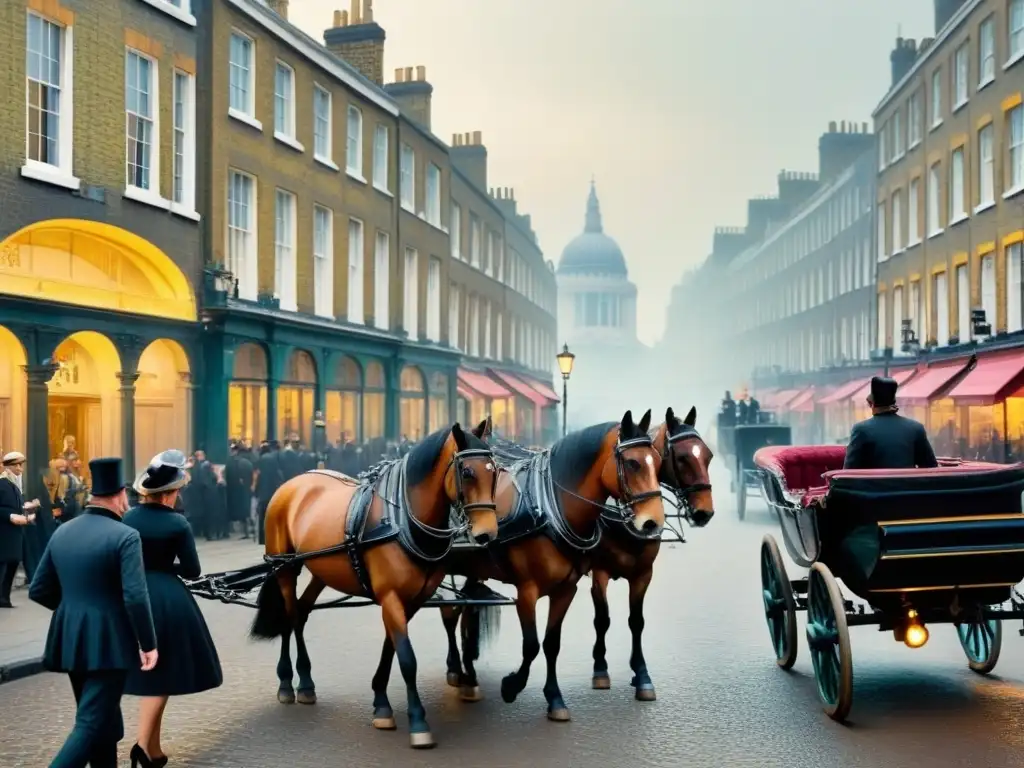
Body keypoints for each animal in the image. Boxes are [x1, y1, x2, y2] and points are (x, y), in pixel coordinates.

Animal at [251, 423, 499, 749]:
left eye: (495, 471)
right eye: (467, 472)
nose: (487, 534)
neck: (403, 521)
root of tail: (293, 482)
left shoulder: (411, 600)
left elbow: (390, 647)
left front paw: (381, 701)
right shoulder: (391, 597)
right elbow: (406, 657)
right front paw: (418, 721)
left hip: (321, 570)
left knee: (302, 613)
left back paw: (305, 681)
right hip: (285, 567)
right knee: (290, 617)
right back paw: (287, 682)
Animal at [438, 411, 663, 724]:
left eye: (658, 460)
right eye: (632, 463)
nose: (653, 522)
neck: (550, 507)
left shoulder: (566, 589)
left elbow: (551, 643)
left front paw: (554, 698)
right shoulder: (526, 591)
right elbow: (531, 645)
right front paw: (511, 686)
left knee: (467, 614)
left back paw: (469, 676)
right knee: (450, 614)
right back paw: (456, 670)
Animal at [589, 409, 716, 704]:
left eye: (708, 455)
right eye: (681, 458)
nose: (704, 512)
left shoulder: (643, 574)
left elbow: (637, 622)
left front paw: (642, 674)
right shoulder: (599, 573)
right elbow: (602, 619)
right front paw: (600, 668)